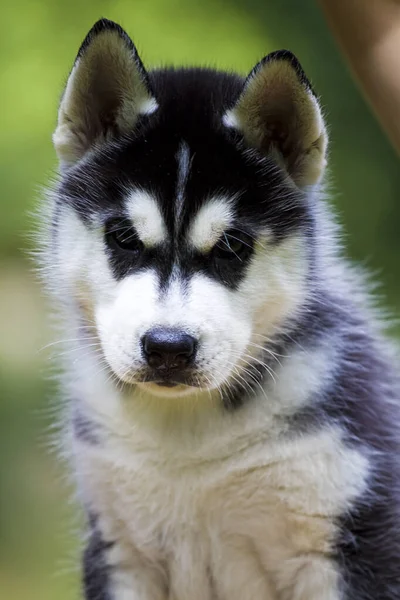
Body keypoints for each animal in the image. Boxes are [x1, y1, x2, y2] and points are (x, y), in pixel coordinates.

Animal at [40, 17, 400, 600]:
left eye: (231, 246)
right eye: (124, 237)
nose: (167, 348)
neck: (190, 449)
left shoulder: (354, 539)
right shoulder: (119, 547)